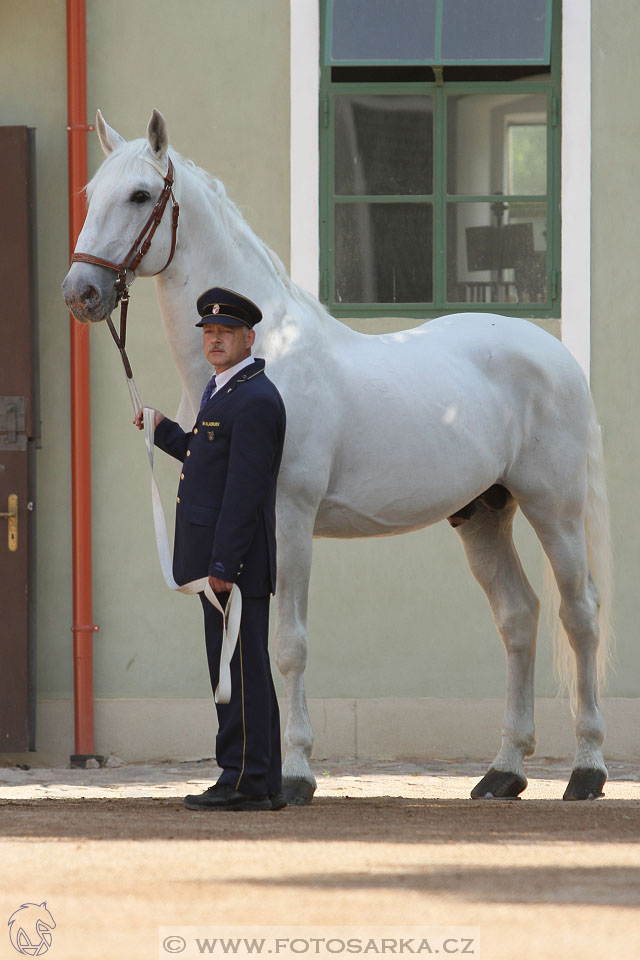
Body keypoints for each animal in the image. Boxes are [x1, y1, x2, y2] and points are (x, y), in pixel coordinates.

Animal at [62, 110, 612, 804]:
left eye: (138, 195)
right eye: (89, 194)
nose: (79, 292)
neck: (262, 356)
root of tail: (556, 354)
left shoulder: (289, 521)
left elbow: (288, 645)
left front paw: (296, 775)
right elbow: (236, 647)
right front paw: (240, 780)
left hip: (554, 510)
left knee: (580, 615)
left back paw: (587, 771)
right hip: (483, 514)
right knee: (518, 617)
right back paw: (503, 772)